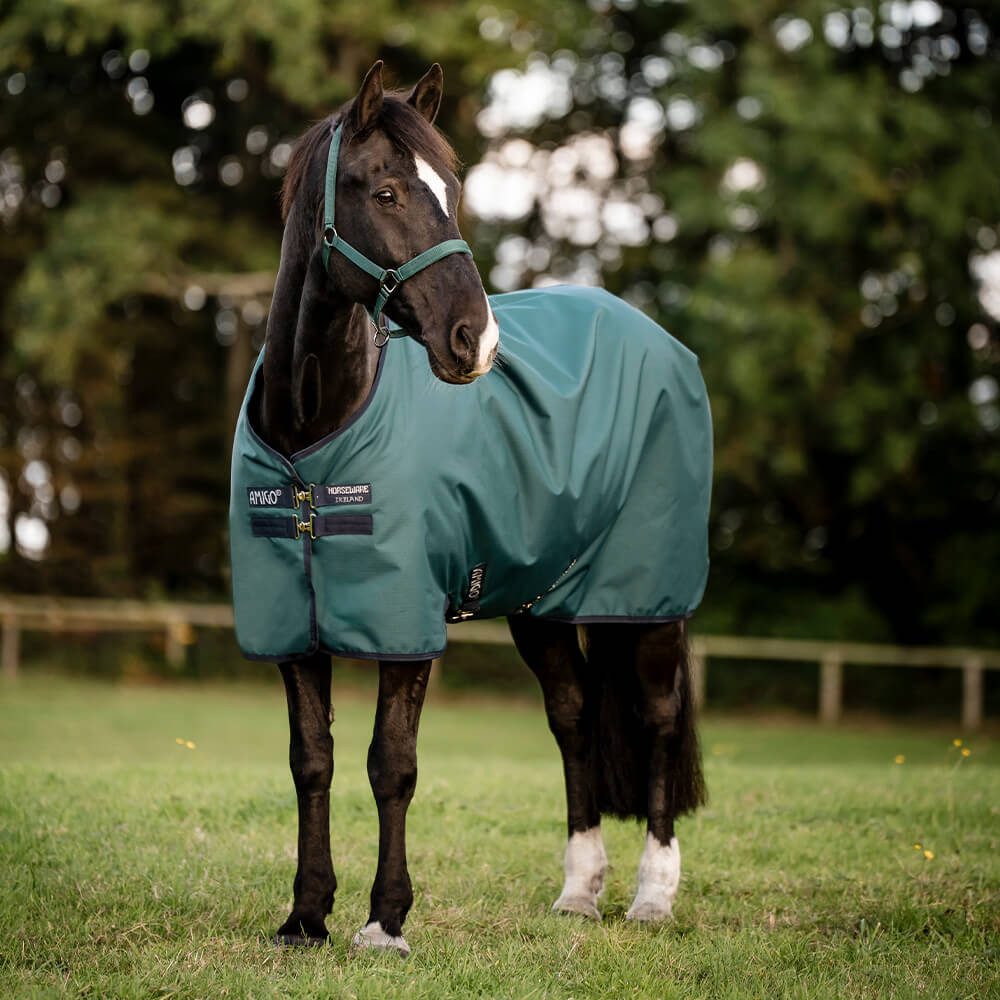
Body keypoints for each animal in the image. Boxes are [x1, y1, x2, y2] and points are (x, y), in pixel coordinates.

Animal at [231, 61, 708, 956]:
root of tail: (657, 337)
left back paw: (653, 896)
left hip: (649, 599)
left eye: (450, 191)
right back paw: (579, 892)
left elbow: (392, 763)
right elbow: (311, 760)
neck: (314, 435)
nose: (475, 342)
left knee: (658, 718)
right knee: (573, 716)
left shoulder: (405, 620)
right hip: (541, 604)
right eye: (384, 191)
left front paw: (385, 921)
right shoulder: (290, 628)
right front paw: (306, 916)